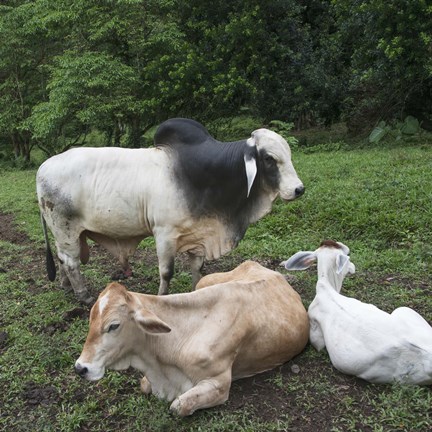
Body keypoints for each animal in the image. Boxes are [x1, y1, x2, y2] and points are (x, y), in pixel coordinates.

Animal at [36, 116, 304, 302]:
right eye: (269, 159)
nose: (298, 189)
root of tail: (43, 167)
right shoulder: (164, 234)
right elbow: (167, 272)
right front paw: (162, 297)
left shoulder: (199, 233)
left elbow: (198, 269)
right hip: (65, 227)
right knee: (70, 261)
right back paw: (83, 295)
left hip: (63, 233)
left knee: (62, 258)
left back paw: (66, 286)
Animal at [75, 260, 310, 416]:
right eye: (90, 320)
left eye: (113, 325)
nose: (80, 368)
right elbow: (144, 385)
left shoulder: (219, 385)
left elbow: (178, 407)